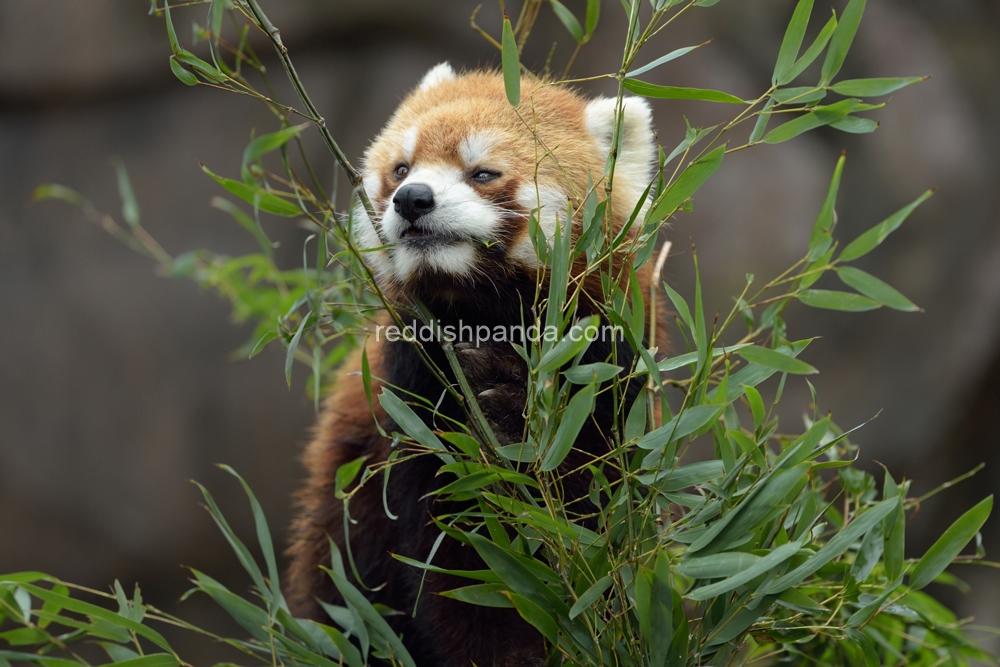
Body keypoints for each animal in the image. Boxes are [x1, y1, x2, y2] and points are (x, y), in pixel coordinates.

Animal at [284, 64, 656, 667]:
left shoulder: (608, 381)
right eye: (401, 168)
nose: (412, 198)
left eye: (483, 173)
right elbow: (462, 568)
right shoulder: (413, 409)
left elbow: (588, 510)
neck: (483, 314)